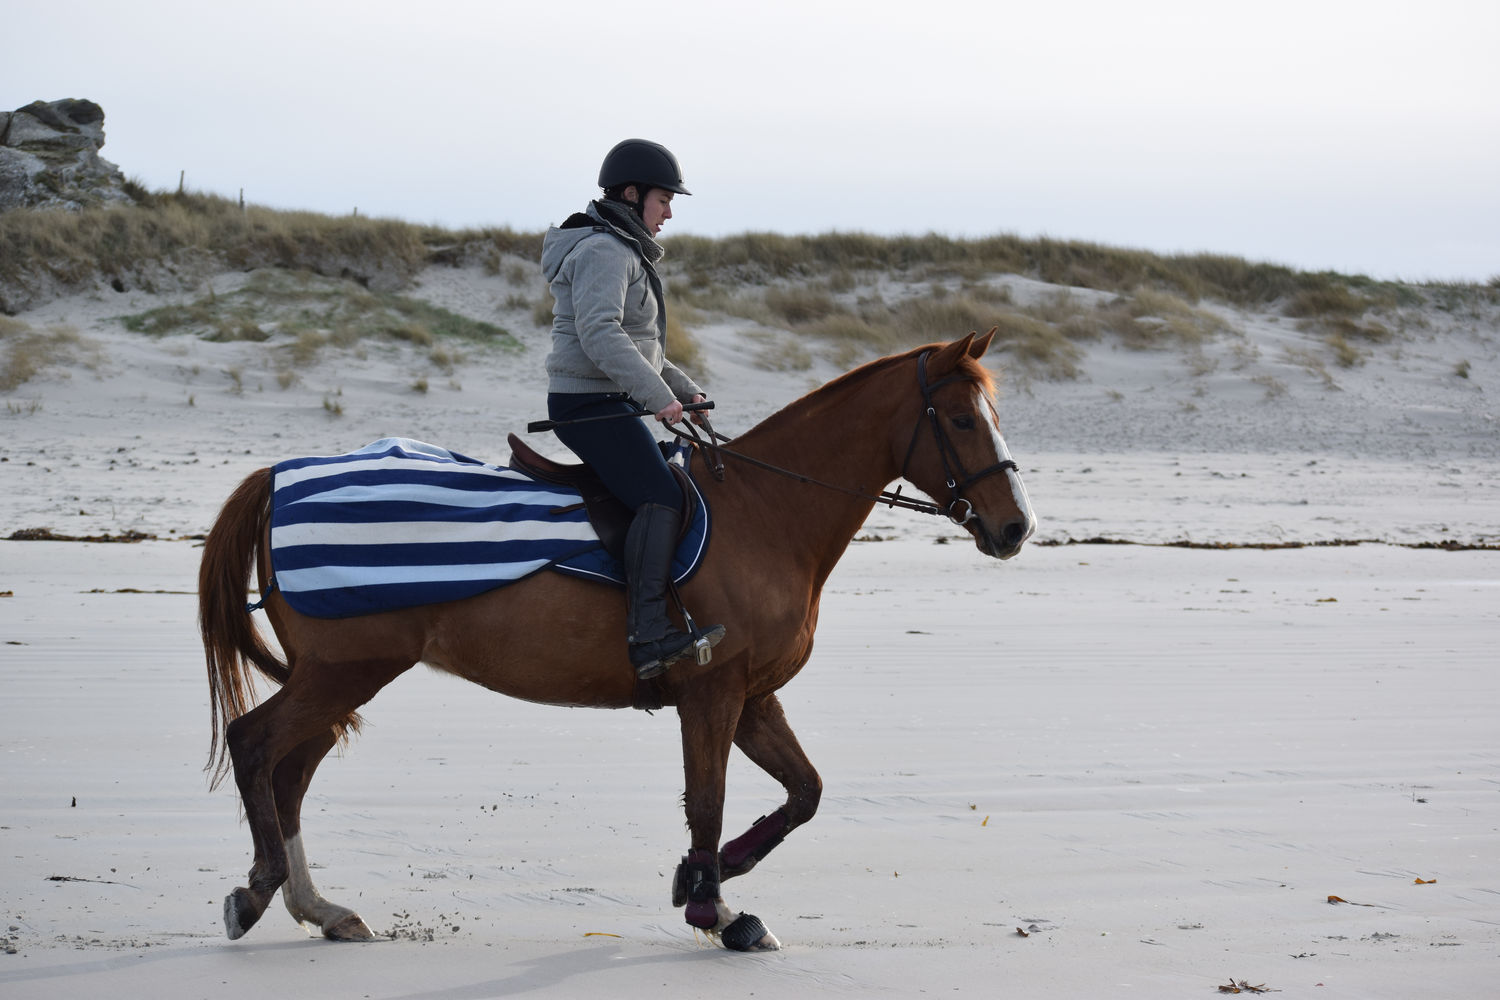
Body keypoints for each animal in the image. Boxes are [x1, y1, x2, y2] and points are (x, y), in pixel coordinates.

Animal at [199, 329, 1038, 953]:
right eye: (962, 420)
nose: (1015, 528)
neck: (767, 512)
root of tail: (281, 475)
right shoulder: (711, 693)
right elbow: (709, 800)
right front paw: (712, 907)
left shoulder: (753, 697)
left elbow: (804, 793)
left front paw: (714, 882)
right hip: (345, 671)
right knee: (255, 745)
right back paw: (260, 890)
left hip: (339, 676)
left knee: (289, 771)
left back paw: (321, 909)